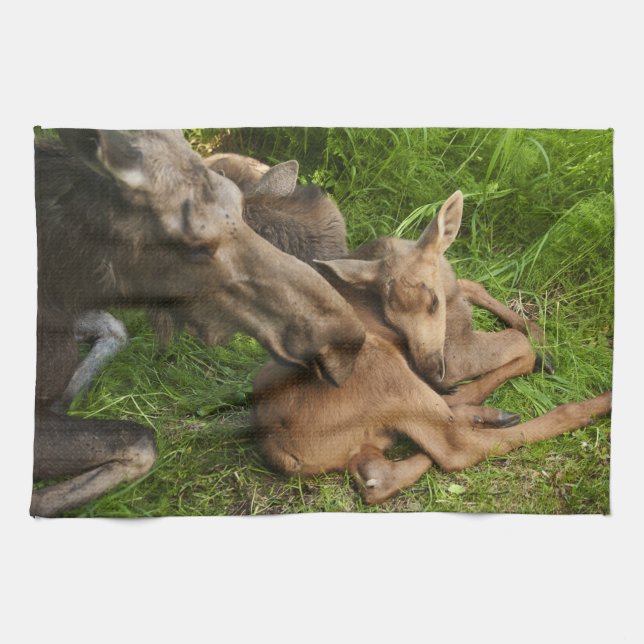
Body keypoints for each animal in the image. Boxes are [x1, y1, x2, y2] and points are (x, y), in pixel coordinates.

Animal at [251, 191, 612, 504]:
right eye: (391, 317)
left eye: (433, 302)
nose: (428, 367)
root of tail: (275, 447)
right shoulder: (455, 354)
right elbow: (517, 341)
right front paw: (539, 347)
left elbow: (472, 283)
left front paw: (534, 330)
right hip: (380, 365)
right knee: (457, 448)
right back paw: (588, 404)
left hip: (364, 436)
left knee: (378, 478)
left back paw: (478, 413)